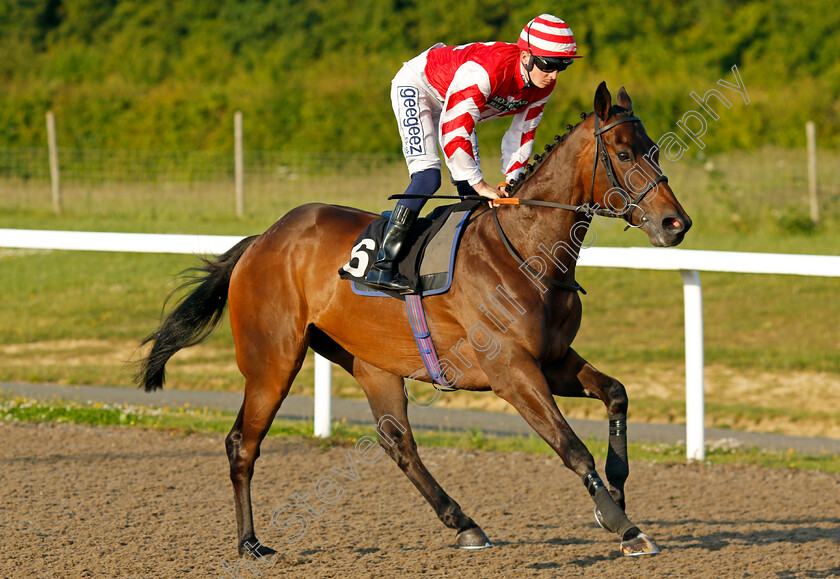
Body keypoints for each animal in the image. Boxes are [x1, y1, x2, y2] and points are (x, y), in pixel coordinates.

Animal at [136, 82, 688, 560]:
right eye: (623, 154)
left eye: (655, 152)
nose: (675, 224)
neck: (526, 251)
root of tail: (262, 239)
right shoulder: (511, 371)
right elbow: (572, 447)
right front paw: (624, 526)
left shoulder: (552, 359)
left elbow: (616, 393)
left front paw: (617, 492)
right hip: (273, 362)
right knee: (242, 444)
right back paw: (250, 543)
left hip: (370, 362)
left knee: (396, 440)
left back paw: (464, 523)